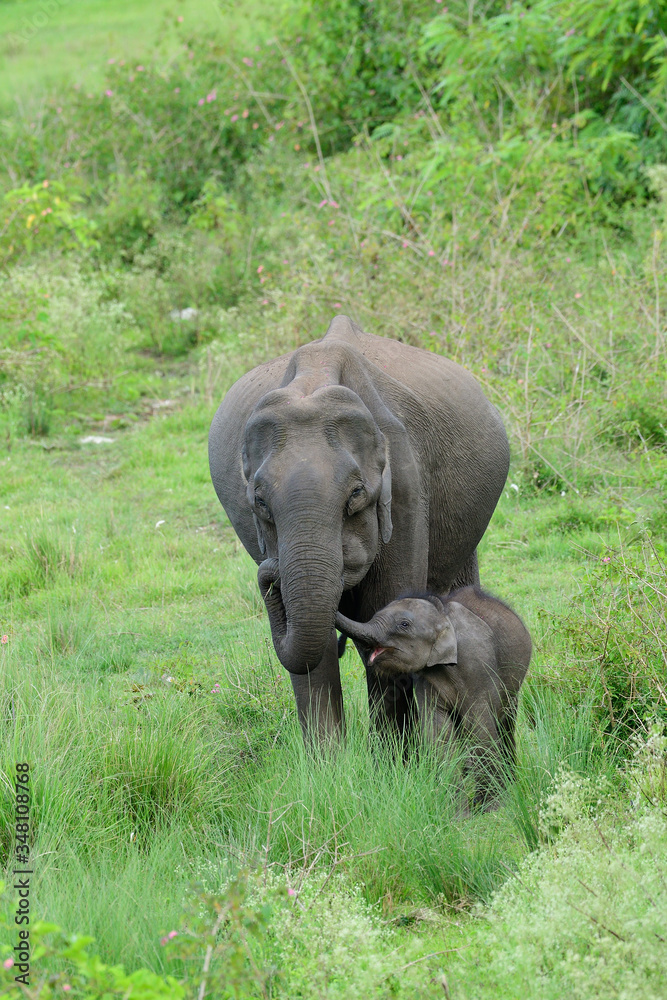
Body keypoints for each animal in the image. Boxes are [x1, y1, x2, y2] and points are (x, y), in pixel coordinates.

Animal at [208, 315, 509, 742]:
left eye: (356, 494)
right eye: (260, 503)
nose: (270, 574)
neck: (314, 381)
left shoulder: (405, 483)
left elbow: (386, 603)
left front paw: (391, 756)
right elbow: (311, 645)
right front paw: (327, 759)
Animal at [335, 586, 532, 807]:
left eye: (404, 624)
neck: (442, 614)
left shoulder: (478, 667)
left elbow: (480, 728)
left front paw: (491, 808)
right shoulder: (425, 679)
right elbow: (438, 732)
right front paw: (457, 810)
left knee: (505, 723)